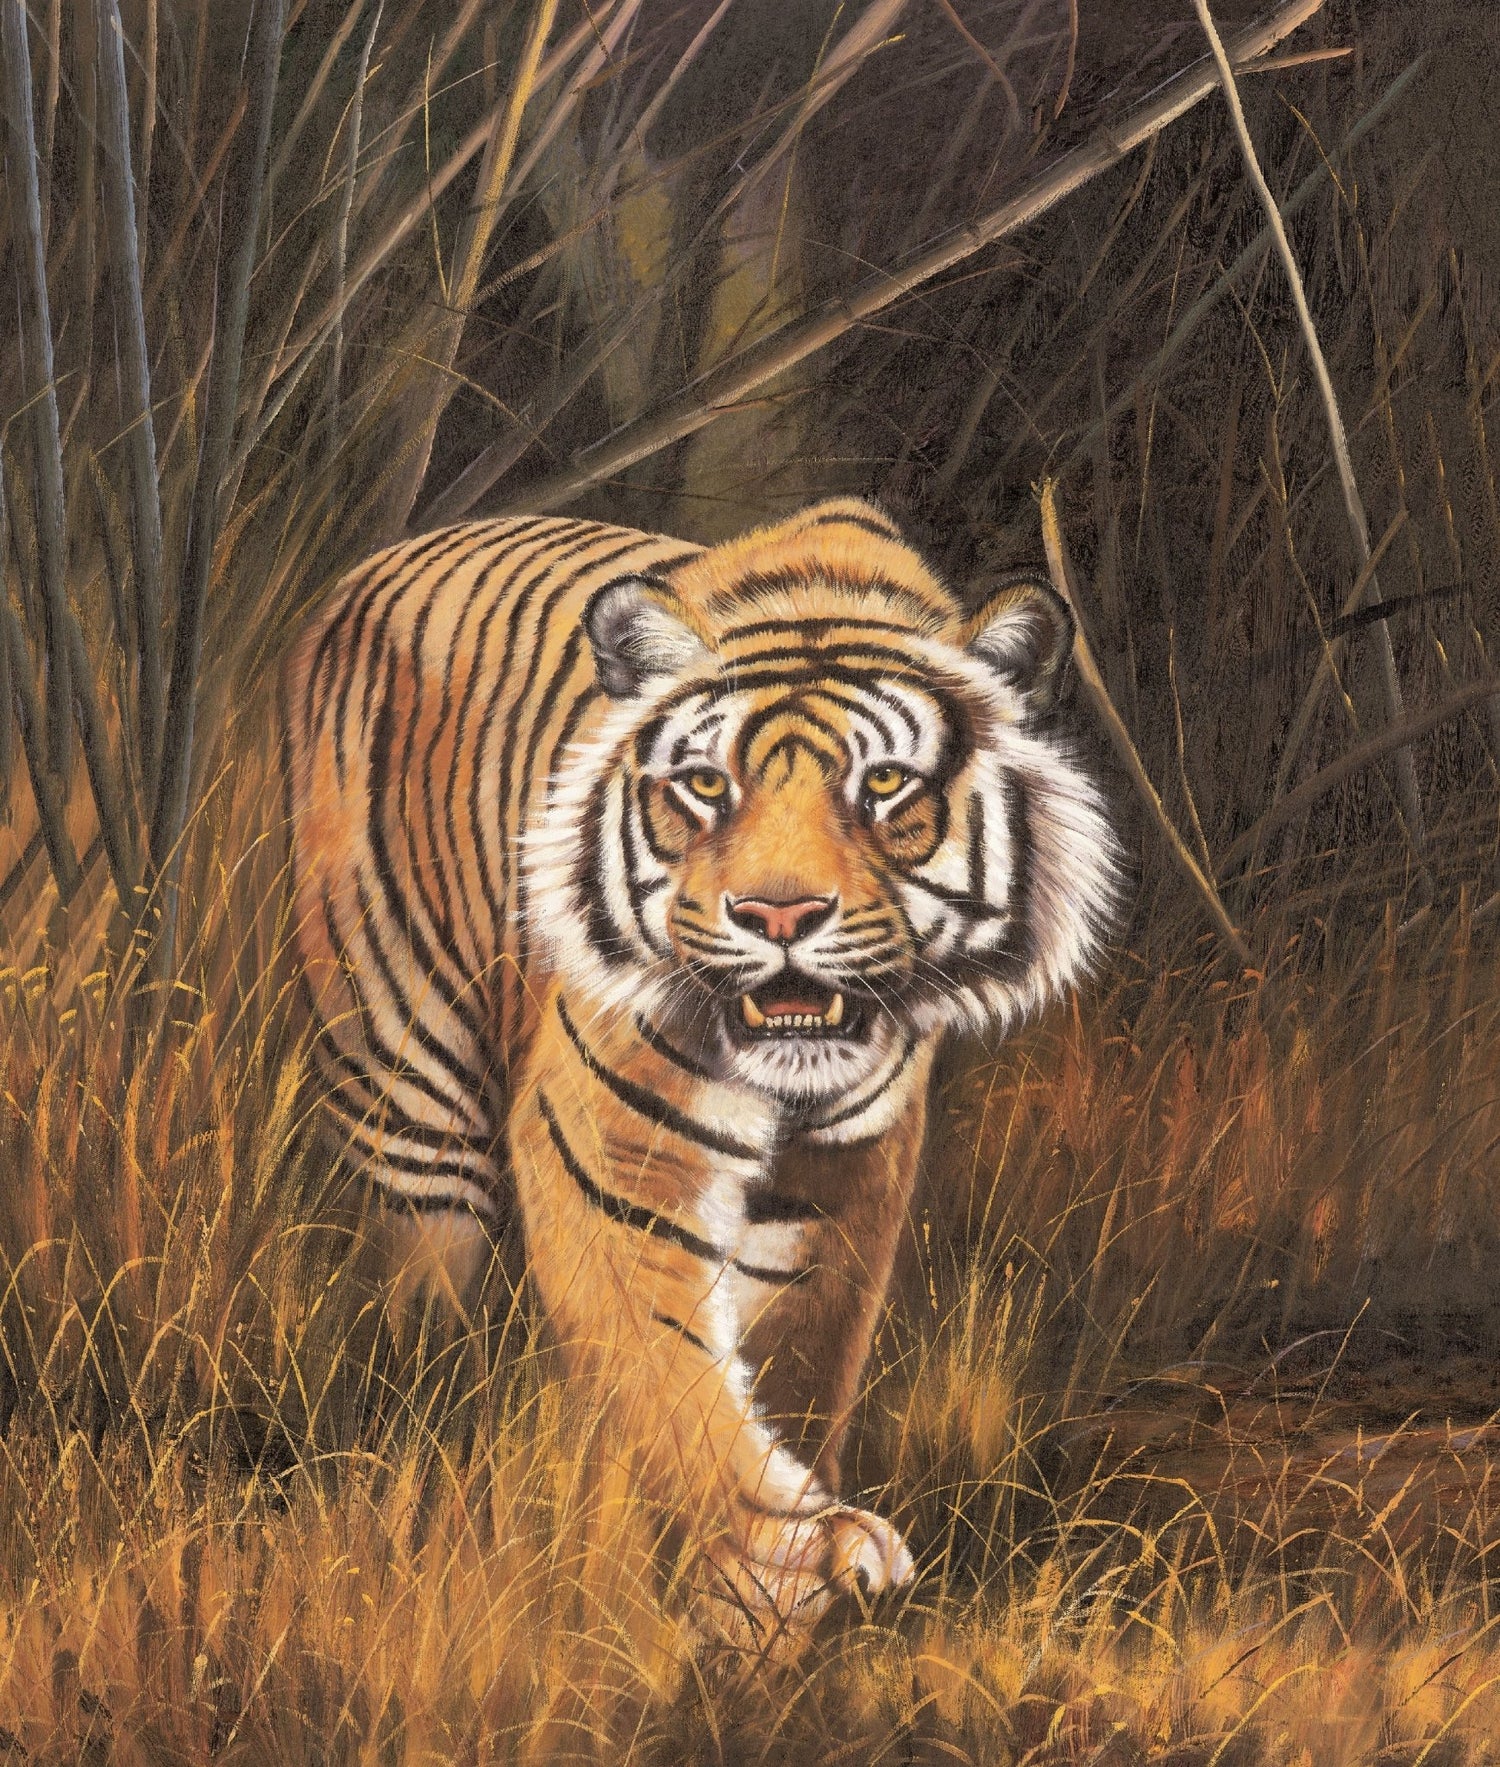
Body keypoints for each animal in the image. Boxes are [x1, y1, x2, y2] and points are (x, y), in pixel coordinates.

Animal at [280, 496, 1118, 1640]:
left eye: (883, 783)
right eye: (707, 786)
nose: (778, 915)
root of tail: (384, 560)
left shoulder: (846, 1175)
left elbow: (797, 1354)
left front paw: (767, 1591)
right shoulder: (614, 1152)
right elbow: (667, 1369)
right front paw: (787, 1551)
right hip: (406, 1090)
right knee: (417, 1309)